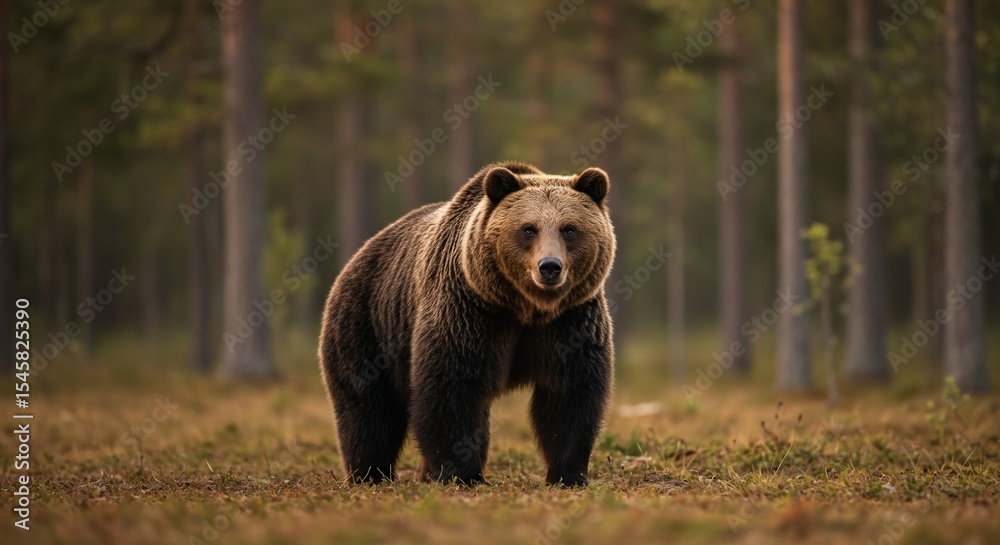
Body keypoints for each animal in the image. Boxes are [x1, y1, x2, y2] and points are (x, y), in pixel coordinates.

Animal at [318, 161, 616, 486]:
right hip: (367, 323)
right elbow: (452, 387)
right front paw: (461, 474)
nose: (549, 267)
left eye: (569, 229)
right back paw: (370, 474)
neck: (526, 307)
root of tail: (360, 254)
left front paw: (569, 474)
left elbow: (570, 393)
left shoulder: (571, 319)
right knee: (368, 409)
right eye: (528, 229)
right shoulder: (468, 310)